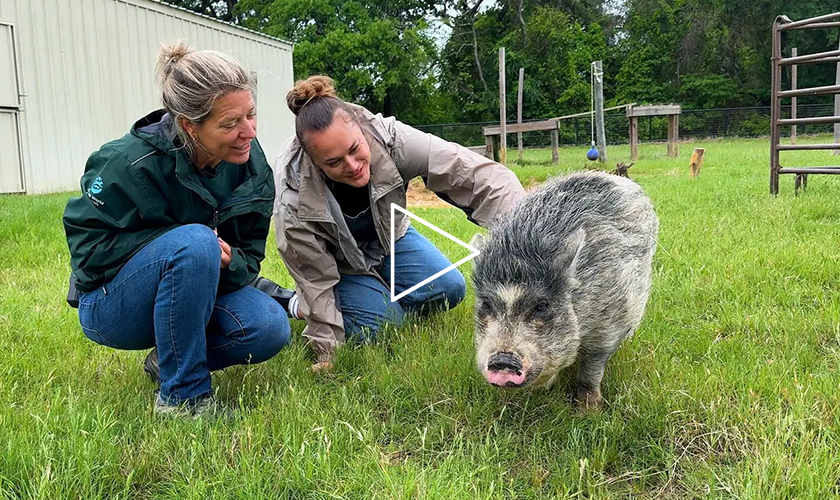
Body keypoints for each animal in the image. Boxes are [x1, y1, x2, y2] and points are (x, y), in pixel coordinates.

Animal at [471, 170, 659, 410]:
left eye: (541, 306)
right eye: (486, 304)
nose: (503, 359)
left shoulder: (608, 325)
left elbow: (591, 370)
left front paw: (588, 410)